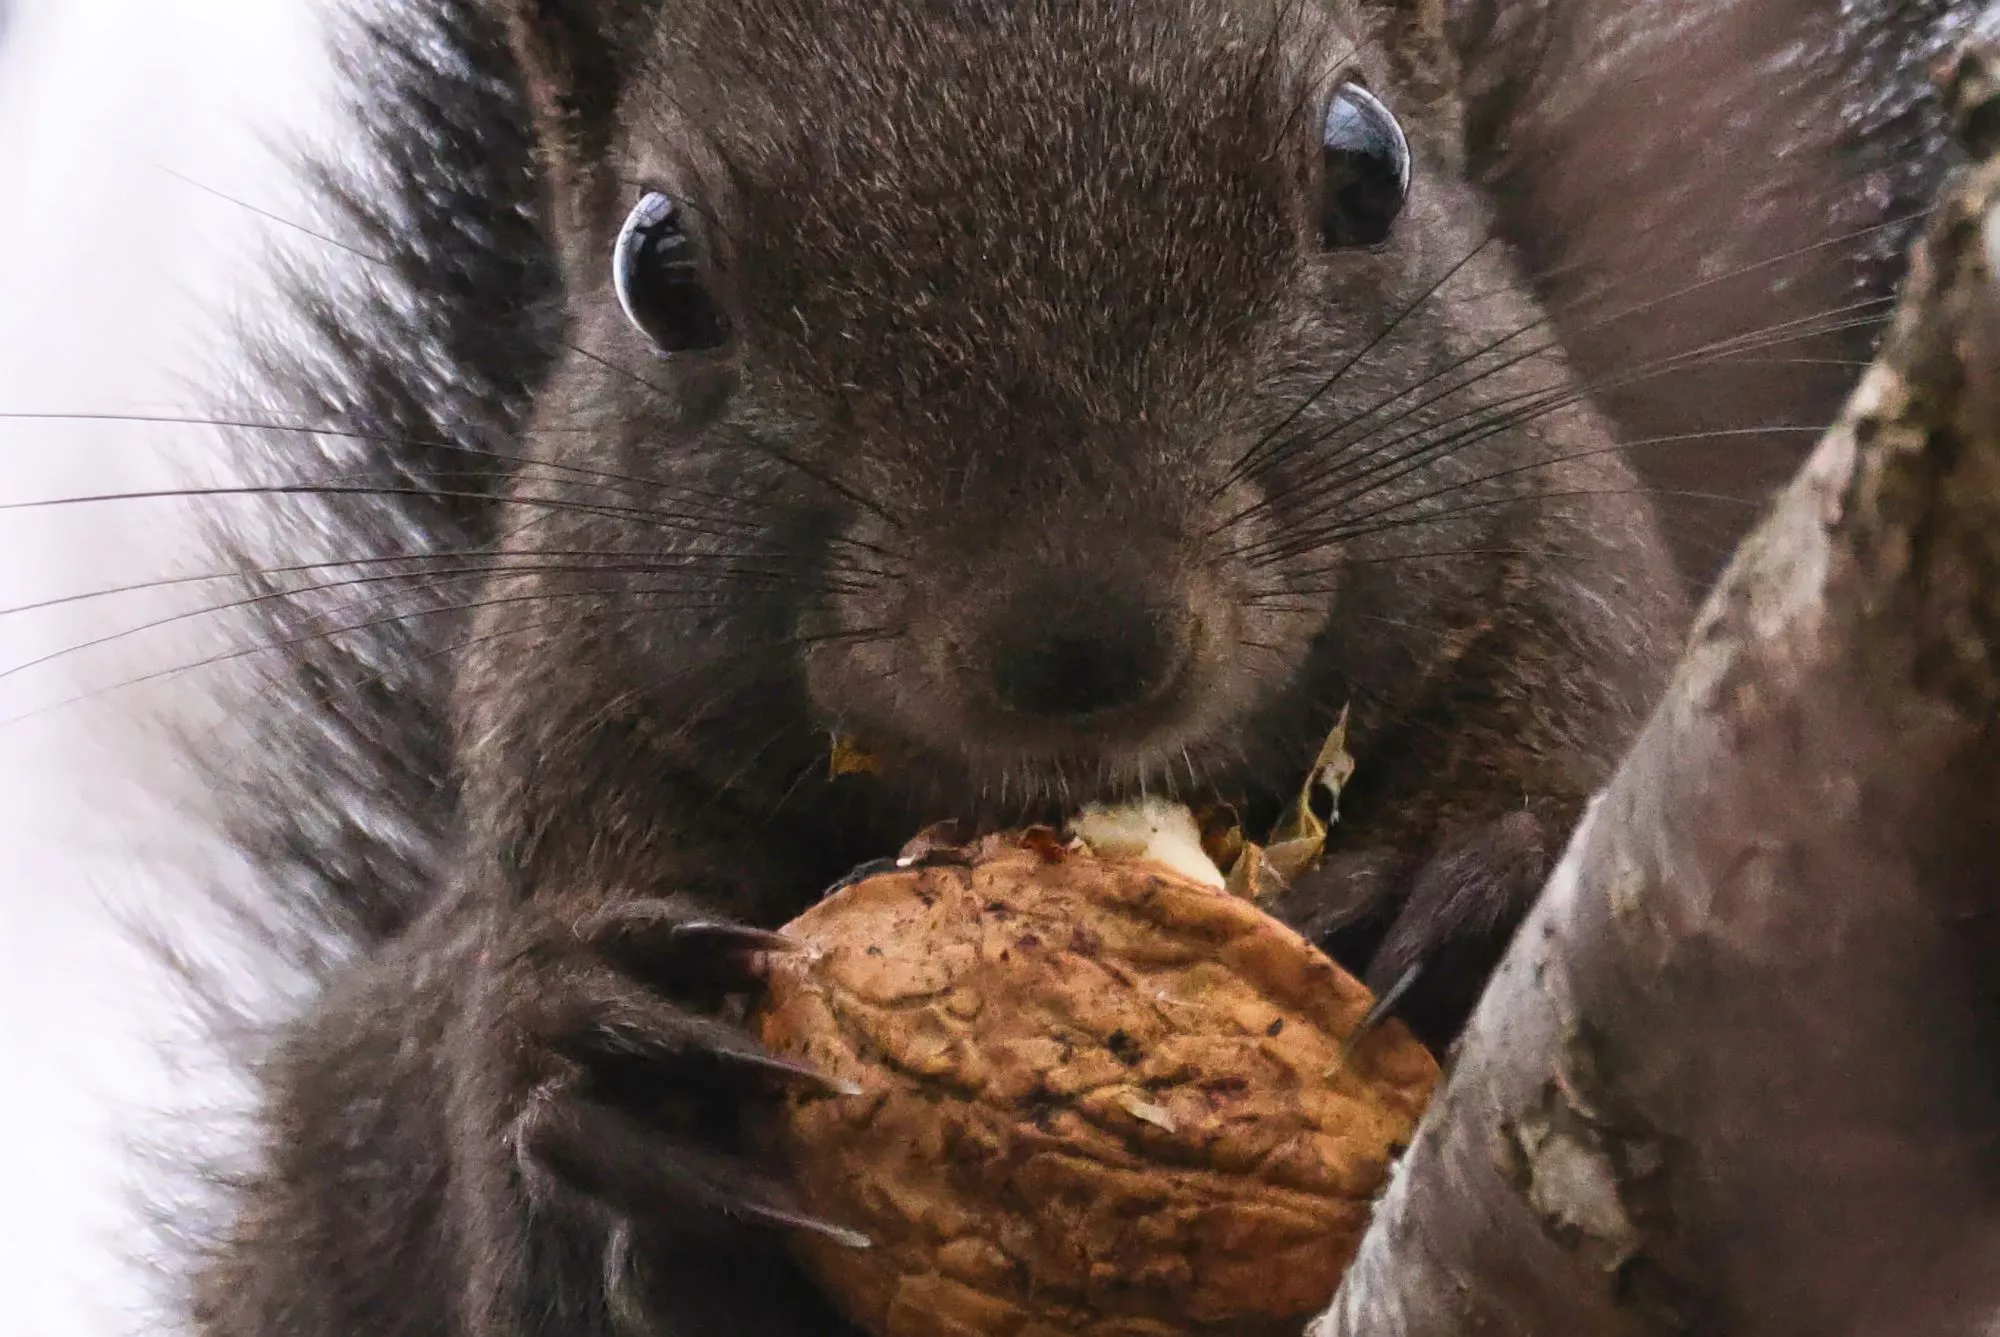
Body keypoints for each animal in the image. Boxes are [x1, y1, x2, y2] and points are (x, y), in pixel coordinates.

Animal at [163, 0, 1967, 1333]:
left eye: (1365, 162)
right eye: (655, 267)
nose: (1078, 637)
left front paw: (1471, 868)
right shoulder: (575, 758)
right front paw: (616, 1098)